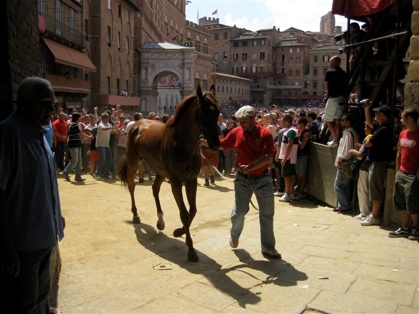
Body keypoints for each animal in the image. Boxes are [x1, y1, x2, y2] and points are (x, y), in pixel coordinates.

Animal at [119, 84, 220, 262]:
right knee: (131, 186)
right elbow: (184, 213)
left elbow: (193, 210)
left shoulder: (191, 180)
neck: (181, 143)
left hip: (160, 170)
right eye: (203, 113)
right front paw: (191, 250)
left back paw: (160, 220)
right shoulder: (176, 182)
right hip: (133, 163)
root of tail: (137, 124)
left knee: (155, 189)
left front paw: (179, 231)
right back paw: (135, 215)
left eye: (218, 112)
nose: (215, 144)